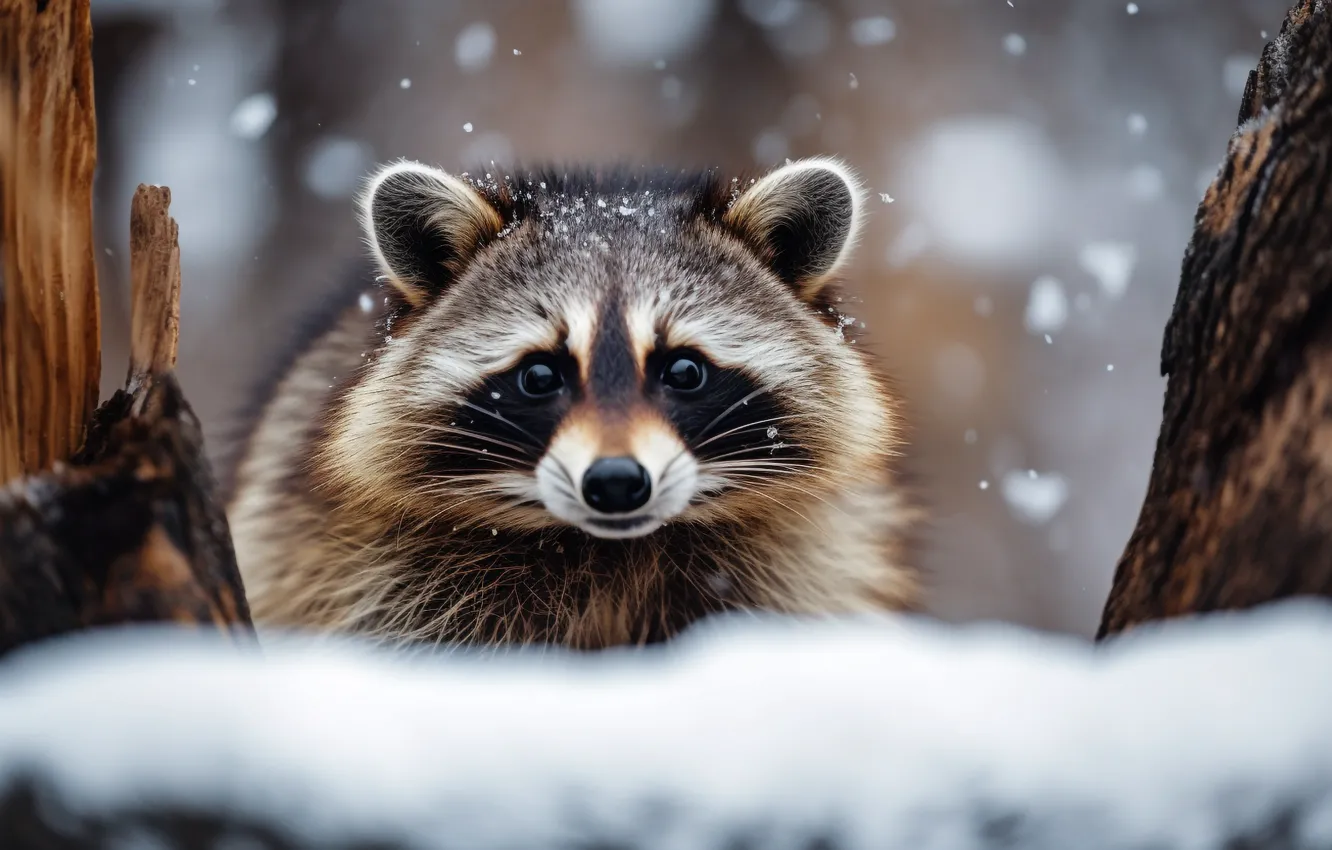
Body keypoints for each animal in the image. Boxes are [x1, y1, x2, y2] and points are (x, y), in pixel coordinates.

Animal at [226, 156, 917, 649]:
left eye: (684, 370)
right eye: (539, 376)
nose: (615, 483)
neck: (611, 551)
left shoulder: (796, 564)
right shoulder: (371, 570)